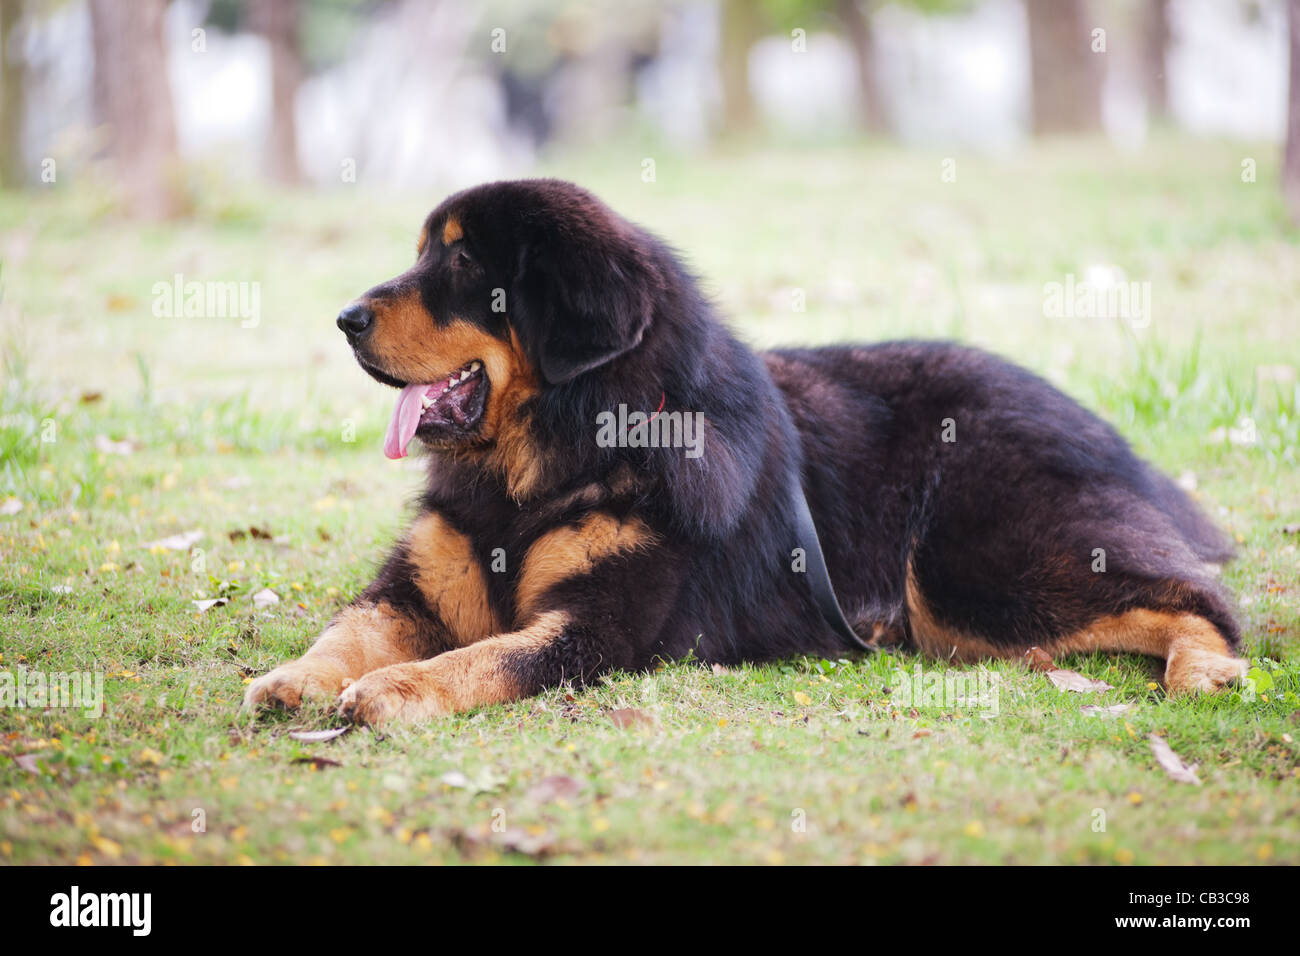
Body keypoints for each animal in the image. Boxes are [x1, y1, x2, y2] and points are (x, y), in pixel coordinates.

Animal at [244, 178, 1248, 723]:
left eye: (459, 265)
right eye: (421, 255)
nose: (345, 319)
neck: (554, 460)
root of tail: (1092, 421)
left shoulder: (598, 626)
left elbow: (479, 660)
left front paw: (395, 690)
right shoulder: (414, 587)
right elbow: (347, 630)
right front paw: (293, 678)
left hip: (970, 567)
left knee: (1201, 599)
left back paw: (1206, 669)